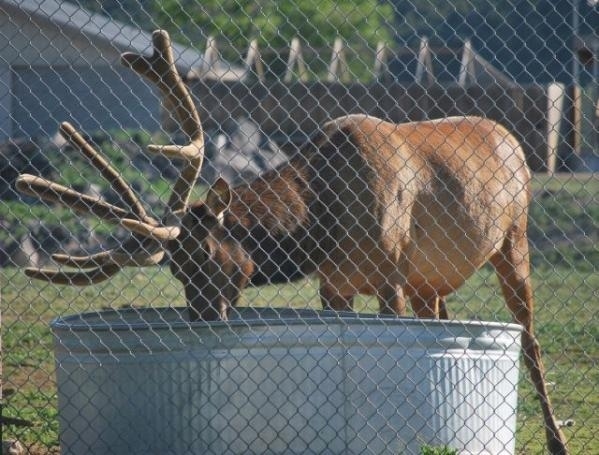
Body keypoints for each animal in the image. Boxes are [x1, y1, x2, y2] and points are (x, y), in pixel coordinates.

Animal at [16, 30, 572, 454]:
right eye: (174, 268)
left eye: (207, 253)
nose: (203, 319)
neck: (319, 227)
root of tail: (512, 138)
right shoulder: (334, 284)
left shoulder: (390, 272)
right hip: (429, 279)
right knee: (444, 317)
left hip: (512, 240)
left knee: (531, 340)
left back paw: (556, 440)